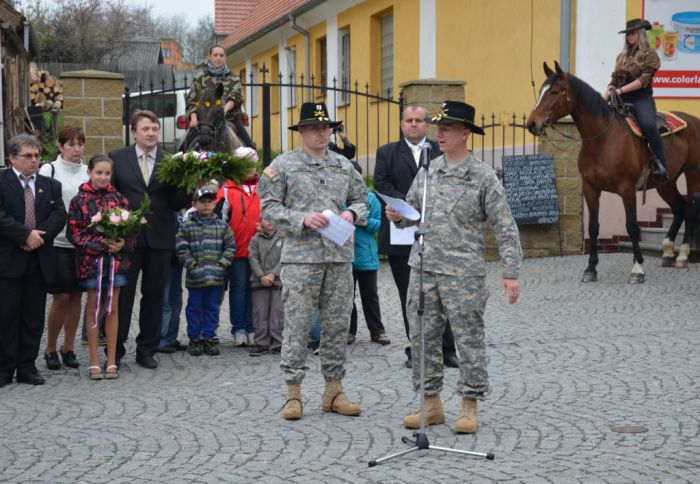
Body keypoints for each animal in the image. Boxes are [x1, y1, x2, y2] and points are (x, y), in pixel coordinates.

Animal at [524, 61, 700, 284]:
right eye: (541, 90)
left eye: (554, 91)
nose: (532, 123)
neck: (603, 139)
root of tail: (693, 120)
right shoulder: (590, 188)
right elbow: (593, 227)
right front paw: (591, 268)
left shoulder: (627, 189)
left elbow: (632, 226)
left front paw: (637, 268)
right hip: (666, 182)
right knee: (679, 208)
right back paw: (668, 252)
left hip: (692, 174)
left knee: (689, 210)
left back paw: (683, 256)